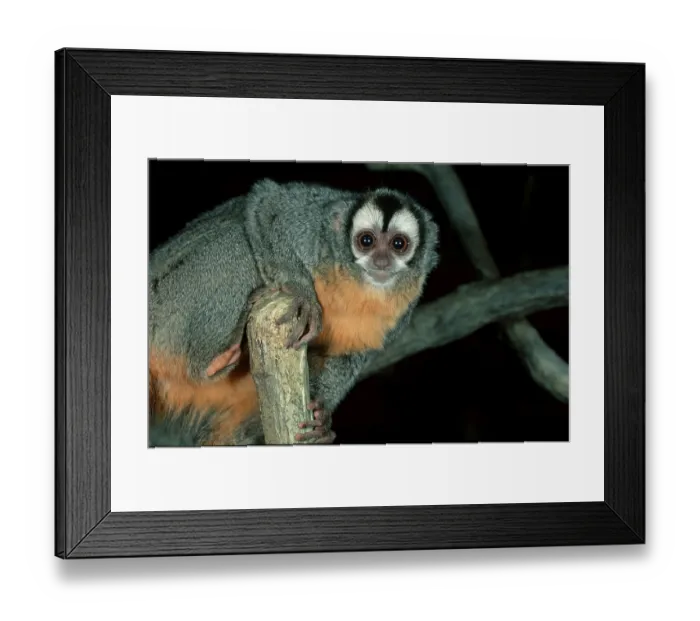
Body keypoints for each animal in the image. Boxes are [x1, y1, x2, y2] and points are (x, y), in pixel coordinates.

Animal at [148, 178, 439, 446]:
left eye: (398, 244)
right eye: (366, 241)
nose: (381, 261)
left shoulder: (401, 315)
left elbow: (351, 356)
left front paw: (322, 417)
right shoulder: (317, 228)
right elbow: (269, 204)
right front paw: (304, 296)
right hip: (168, 305)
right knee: (238, 239)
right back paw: (210, 363)